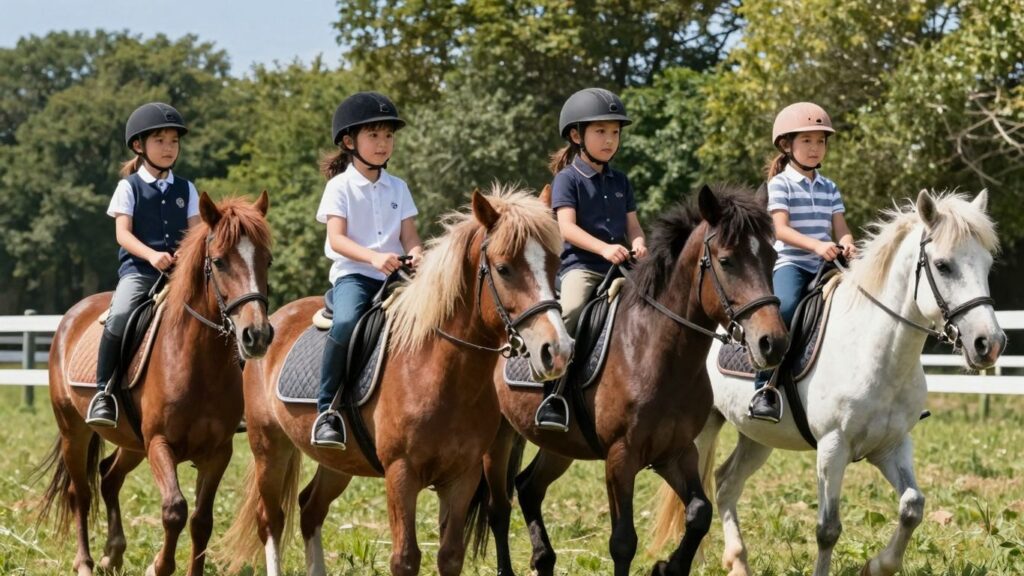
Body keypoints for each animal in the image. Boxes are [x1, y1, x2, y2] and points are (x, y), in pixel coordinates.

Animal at [37, 191, 274, 576]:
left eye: (266, 260)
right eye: (219, 262)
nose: (257, 335)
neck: (198, 363)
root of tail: (72, 315)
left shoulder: (218, 452)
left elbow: (202, 521)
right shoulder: (160, 443)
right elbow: (174, 510)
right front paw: (158, 566)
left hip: (132, 442)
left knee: (108, 476)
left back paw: (114, 553)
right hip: (75, 430)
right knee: (80, 493)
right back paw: (85, 562)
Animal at [217, 186, 574, 576]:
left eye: (555, 263)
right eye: (504, 268)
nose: (557, 350)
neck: (439, 373)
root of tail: (272, 322)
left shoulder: (461, 477)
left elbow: (450, 556)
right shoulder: (401, 475)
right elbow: (404, 558)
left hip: (337, 462)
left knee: (311, 508)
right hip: (269, 446)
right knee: (271, 520)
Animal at [484, 184, 790, 576]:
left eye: (771, 255)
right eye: (726, 261)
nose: (773, 342)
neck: (654, 351)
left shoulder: (676, 452)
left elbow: (699, 513)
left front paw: (668, 567)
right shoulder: (621, 457)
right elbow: (623, 542)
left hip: (559, 446)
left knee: (528, 487)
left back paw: (544, 558)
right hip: (496, 440)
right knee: (498, 508)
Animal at [651, 190, 1005, 576]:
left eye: (987, 265)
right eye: (942, 265)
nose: (989, 343)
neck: (873, 350)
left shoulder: (892, 445)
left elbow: (913, 506)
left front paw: (877, 565)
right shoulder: (833, 448)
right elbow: (828, 529)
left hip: (757, 435)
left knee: (726, 482)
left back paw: (737, 561)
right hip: (703, 429)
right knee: (695, 489)